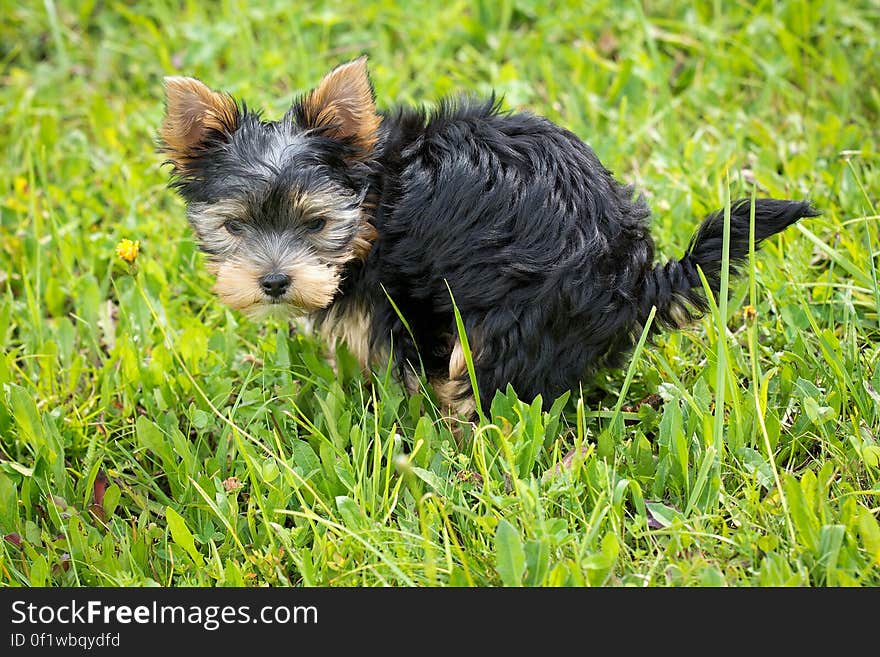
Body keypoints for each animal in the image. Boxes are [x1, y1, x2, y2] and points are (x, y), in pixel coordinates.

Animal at [158, 59, 820, 422]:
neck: (375, 200)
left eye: (316, 224)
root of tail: (635, 277)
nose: (274, 282)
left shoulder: (403, 299)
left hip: (515, 317)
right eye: (235, 226)